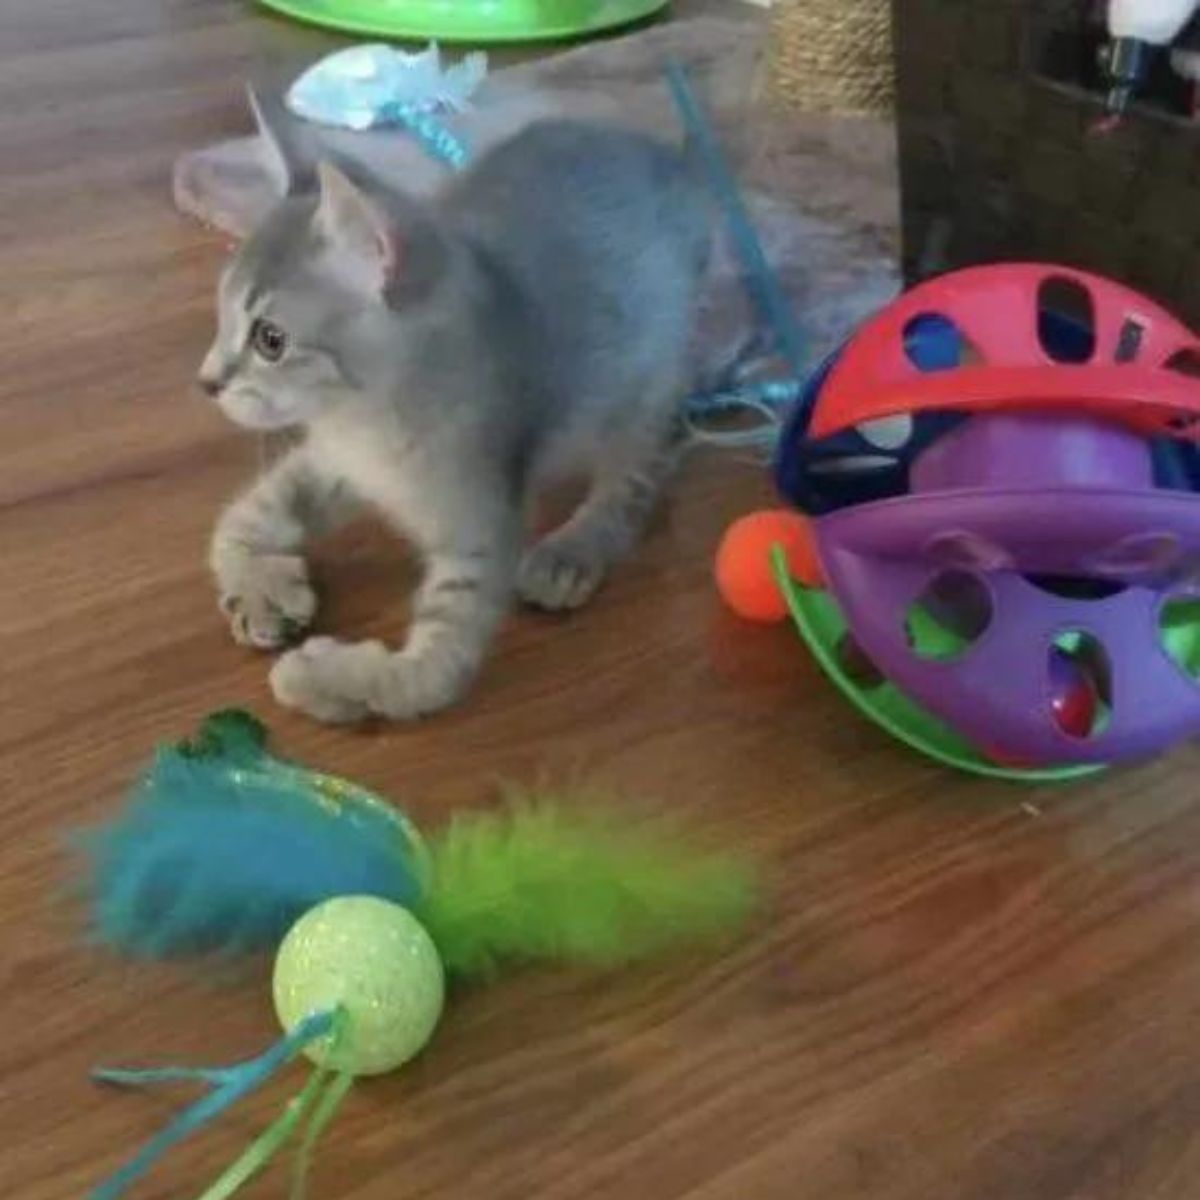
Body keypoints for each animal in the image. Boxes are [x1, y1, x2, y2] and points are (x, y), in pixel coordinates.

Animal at [202, 91, 710, 720]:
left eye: (270, 340)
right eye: (222, 315)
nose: (206, 381)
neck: (365, 420)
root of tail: (670, 163)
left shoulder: (481, 531)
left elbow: (426, 678)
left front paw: (324, 680)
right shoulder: (337, 461)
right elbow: (242, 516)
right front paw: (261, 592)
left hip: (648, 373)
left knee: (647, 462)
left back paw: (573, 549)